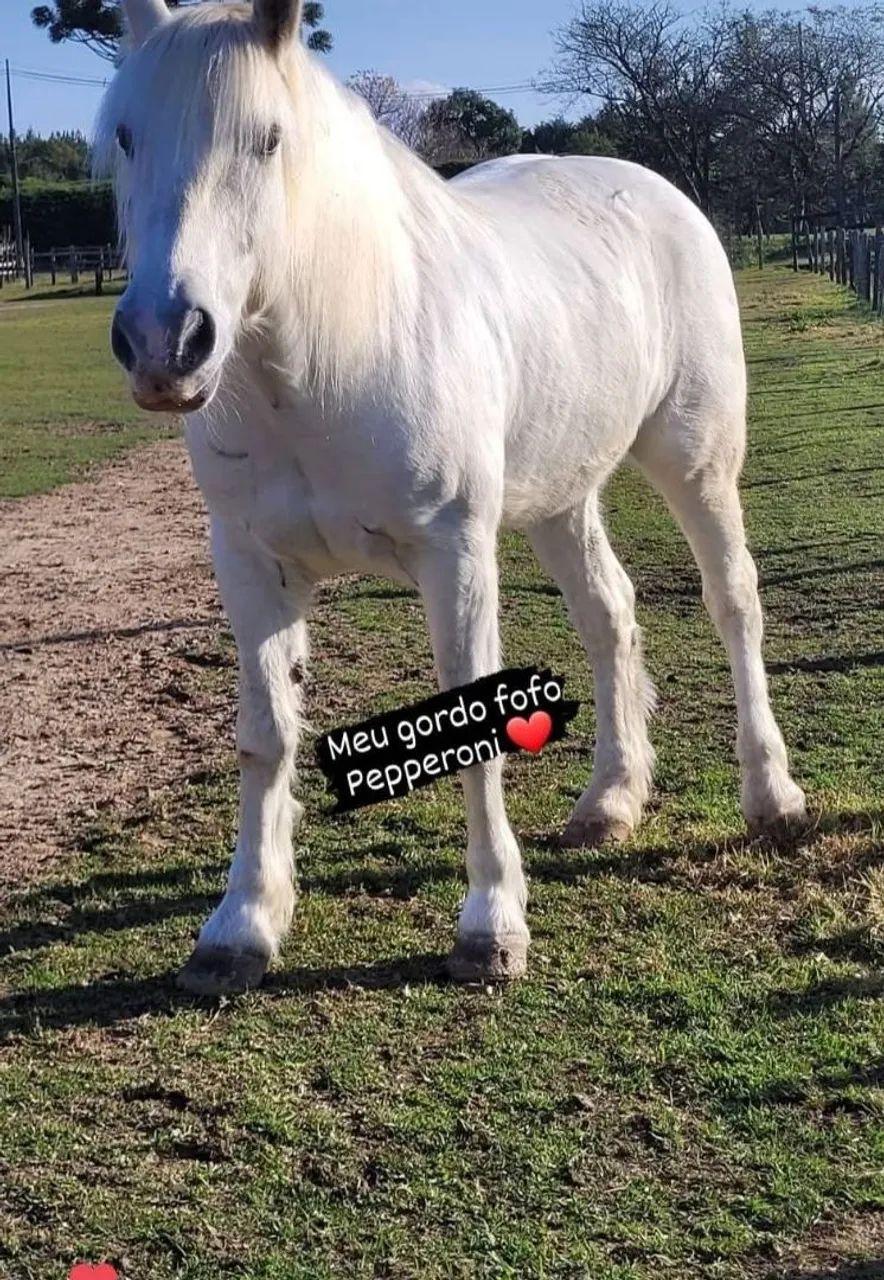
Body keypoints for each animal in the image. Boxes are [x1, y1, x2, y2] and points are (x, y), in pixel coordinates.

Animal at [99, 0, 807, 995]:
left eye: (269, 139)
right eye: (127, 135)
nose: (166, 343)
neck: (336, 350)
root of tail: (657, 193)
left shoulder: (456, 553)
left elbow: (472, 719)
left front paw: (491, 927)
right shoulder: (249, 561)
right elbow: (265, 735)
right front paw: (240, 928)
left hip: (697, 463)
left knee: (733, 602)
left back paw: (772, 797)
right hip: (561, 498)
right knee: (610, 615)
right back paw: (610, 801)